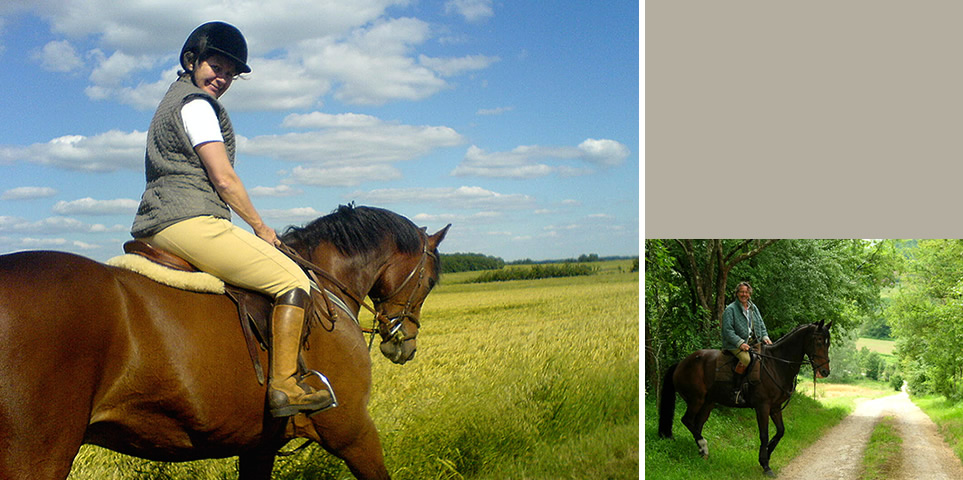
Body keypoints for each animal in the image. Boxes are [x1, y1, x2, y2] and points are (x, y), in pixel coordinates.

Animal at [660, 320, 832, 474]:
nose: (825, 372)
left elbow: (780, 432)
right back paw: (704, 446)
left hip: (708, 403)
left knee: (697, 424)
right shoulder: (762, 407)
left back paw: (702, 452)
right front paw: (765, 464)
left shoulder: (775, 407)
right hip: (696, 400)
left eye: (828, 343)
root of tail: (681, 364)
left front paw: (767, 454)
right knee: (687, 420)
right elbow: (764, 435)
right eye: (818, 341)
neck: (776, 365)